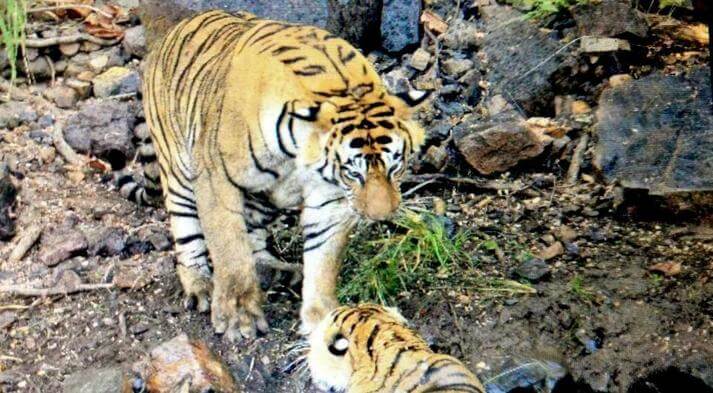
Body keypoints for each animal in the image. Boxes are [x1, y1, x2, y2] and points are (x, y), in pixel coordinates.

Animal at [118, 10, 428, 338]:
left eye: (396, 166)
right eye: (353, 174)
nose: (382, 216)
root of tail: (173, 30)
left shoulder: (329, 198)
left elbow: (322, 260)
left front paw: (323, 321)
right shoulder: (217, 180)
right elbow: (230, 250)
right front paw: (238, 317)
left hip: (262, 195)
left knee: (255, 237)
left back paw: (277, 270)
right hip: (178, 169)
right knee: (186, 228)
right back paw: (199, 284)